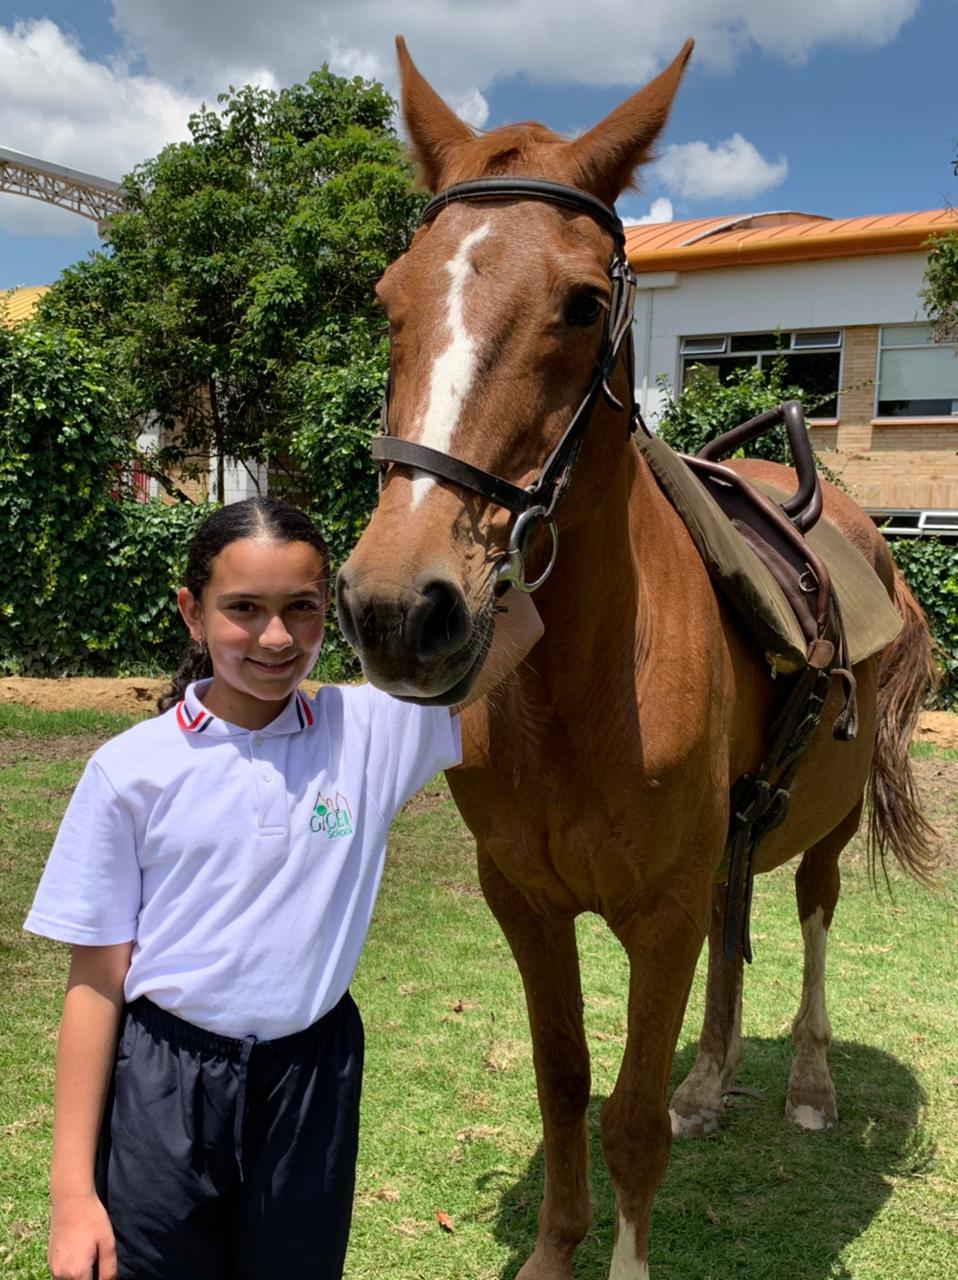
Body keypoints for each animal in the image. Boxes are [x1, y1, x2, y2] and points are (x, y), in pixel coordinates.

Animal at [336, 38, 938, 1280]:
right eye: (388, 299)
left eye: (577, 303)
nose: (396, 606)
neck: (573, 696)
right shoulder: (523, 900)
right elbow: (565, 1082)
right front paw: (552, 1249)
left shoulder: (655, 915)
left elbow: (628, 1120)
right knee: (732, 938)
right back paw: (709, 1080)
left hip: (827, 826)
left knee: (811, 923)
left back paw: (807, 1084)